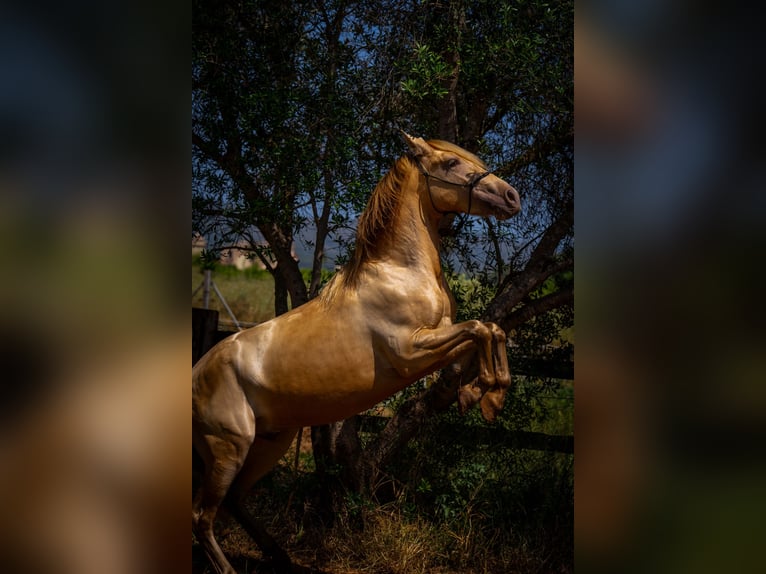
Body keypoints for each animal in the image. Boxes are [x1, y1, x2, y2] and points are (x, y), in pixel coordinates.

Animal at [192, 132, 521, 573]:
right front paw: (489, 395)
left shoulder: (439, 338)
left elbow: (488, 332)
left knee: (234, 502)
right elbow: (481, 328)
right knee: (203, 515)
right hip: (227, 449)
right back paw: (230, 567)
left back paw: (281, 556)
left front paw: (479, 395)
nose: (511, 197)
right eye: (451, 163)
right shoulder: (410, 350)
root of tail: (196, 372)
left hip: (269, 443)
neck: (400, 271)